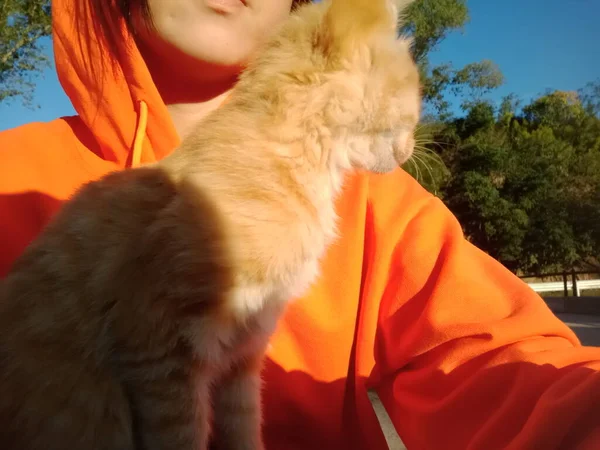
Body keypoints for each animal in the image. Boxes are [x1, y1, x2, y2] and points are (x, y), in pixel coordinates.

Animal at [0, 0, 420, 448]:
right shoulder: (157, 346)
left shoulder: (243, 354)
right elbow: (183, 436)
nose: (412, 149)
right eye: (413, 102)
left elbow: (243, 428)